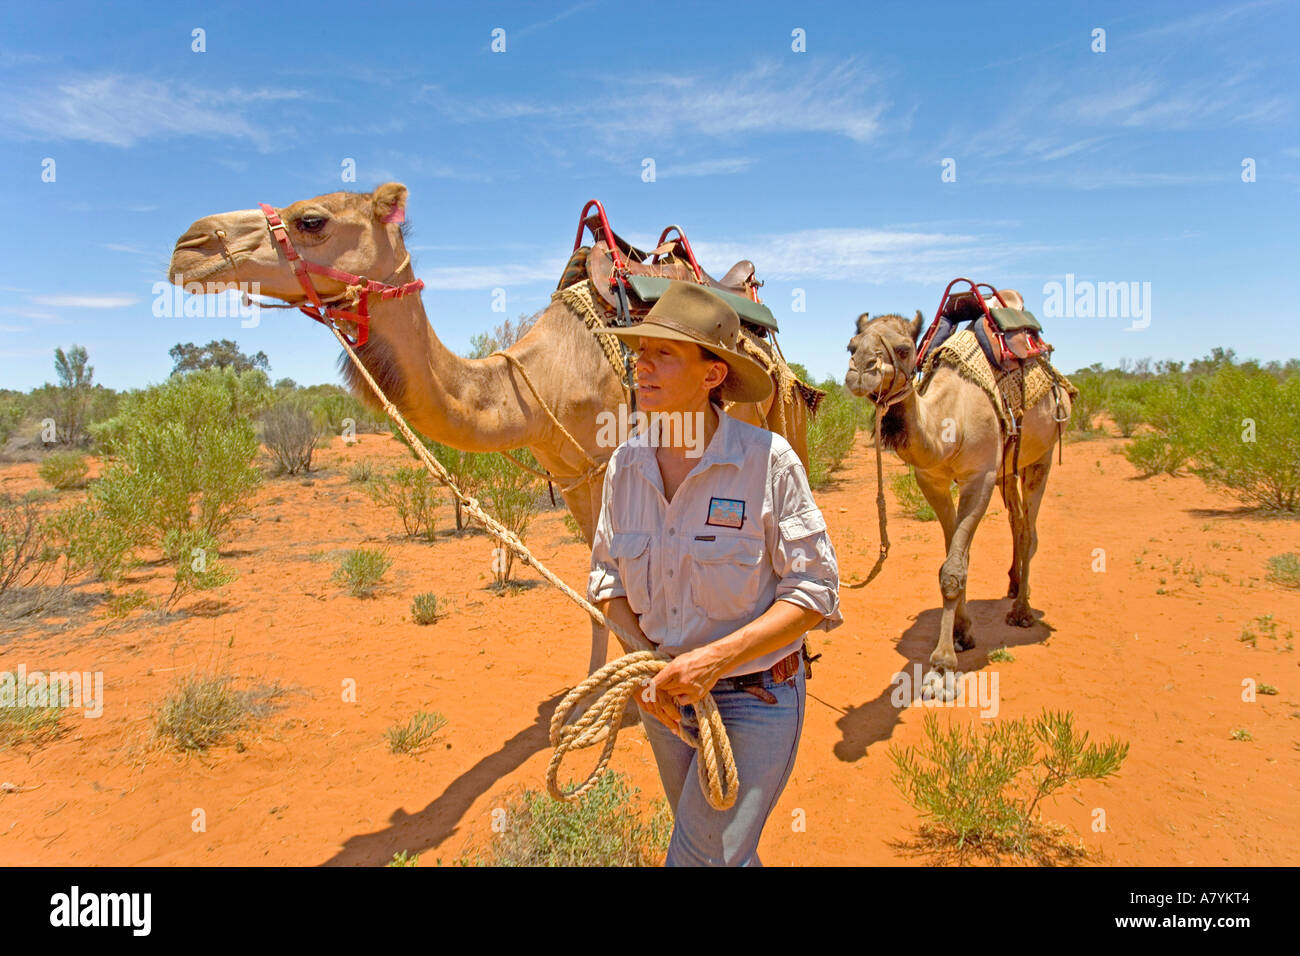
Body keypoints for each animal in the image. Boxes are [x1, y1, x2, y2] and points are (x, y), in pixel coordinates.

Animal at [168, 182, 819, 674]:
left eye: (312, 220)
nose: (189, 245)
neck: (538, 382)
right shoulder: (579, 477)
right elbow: (598, 587)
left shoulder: (613, 464)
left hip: (784, 414)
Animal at [844, 310, 1072, 700]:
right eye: (852, 346)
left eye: (904, 349)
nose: (860, 369)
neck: (950, 424)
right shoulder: (932, 480)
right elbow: (954, 555)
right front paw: (962, 633)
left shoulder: (979, 478)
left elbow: (953, 568)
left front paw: (942, 668)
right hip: (1007, 470)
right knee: (1016, 521)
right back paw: (1014, 586)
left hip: (1040, 456)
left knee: (1029, 531)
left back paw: (1022, 611)